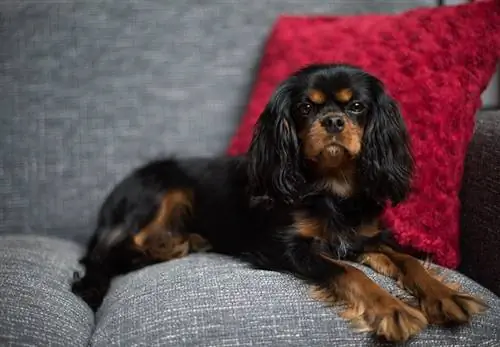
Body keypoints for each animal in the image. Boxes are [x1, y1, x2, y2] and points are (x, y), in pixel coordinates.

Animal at [72, 63, 486, 342]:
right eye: (305, 108)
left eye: (356, 107)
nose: (333, 121)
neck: (332, 188)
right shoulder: (286, 247)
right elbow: (347, 272)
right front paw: (394, 310)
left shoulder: (367, 237)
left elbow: (409, 261)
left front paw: (446, 296)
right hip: (163, 188)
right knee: (108, 252)